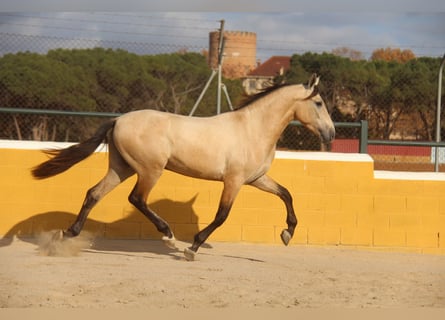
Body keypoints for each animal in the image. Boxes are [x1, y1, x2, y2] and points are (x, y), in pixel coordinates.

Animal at [32, 74, 332, 262]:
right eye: (318, 103)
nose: (330, 133)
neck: (252, 129)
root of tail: (118, 120)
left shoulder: (257, 179)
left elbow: (286, 194)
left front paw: (287, 234)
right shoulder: (233, 181)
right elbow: (222, 216)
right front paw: (193, 248)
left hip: (122, 168)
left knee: (94, 193)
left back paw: (67, 235)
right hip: (150, 170)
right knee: (137, 198)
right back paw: (169, 236)